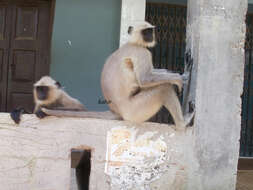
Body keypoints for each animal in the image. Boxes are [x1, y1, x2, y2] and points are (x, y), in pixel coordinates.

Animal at [41, 21, 193, 131]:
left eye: (151, 30)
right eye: (146, 31)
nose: (151, 36)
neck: (132, 42)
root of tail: (116, 111)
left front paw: (173, 73)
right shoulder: (141, 52)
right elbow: (145, 79)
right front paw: (179, 79)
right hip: (135, 111)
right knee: (164, 88)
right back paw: (182, 124)